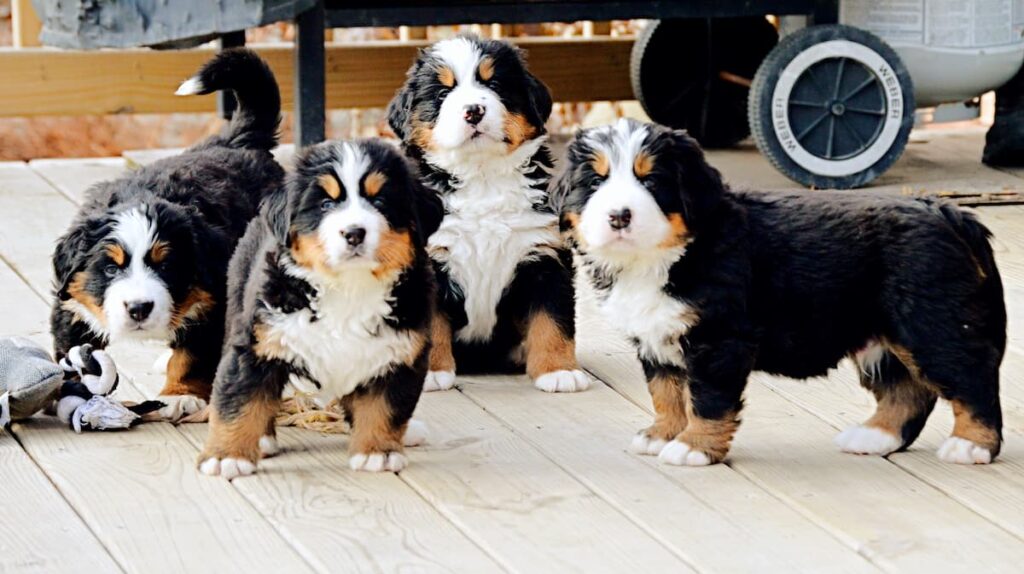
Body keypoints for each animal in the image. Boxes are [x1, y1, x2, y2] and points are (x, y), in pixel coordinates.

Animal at [50, 49, 284, 421]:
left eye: (166, 267)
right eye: (111, 269)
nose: (138, 308)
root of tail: (237, 140)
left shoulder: (212, 301)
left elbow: (191, 355)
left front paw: (179, 395)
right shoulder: (71, 299)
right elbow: (72, 348)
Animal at [197, 139, 442, 478]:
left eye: (380, 201)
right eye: (326, 204)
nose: (354, 232)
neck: (349, 288)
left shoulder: (399, 352)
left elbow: (385, 405)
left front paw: (376, 452)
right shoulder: (256, 344)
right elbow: (239, 398)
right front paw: (227, 456)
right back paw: (262, 439)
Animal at [385, 34, 593, 392]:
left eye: (493, 84)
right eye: (443, 94)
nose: (474, 110)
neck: (483, 177)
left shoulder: (544, 256)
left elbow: (552, 319)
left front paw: (558, 370)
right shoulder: (430, 260)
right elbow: (432, 326)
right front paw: (432, 372)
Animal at [552, 118, 1007, 462]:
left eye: (651, 182)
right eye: (595, 182)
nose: (619, 216)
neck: (665, 256)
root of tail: (944, 210)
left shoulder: (718, 339)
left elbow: (707, 399)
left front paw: (693, 447)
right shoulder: (654, 338)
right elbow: (666, 393)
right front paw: (661, 434)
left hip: (934, 325)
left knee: (972, 380)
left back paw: (970, 446)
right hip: (882, 339)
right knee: (906, 391)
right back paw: (874, 437)